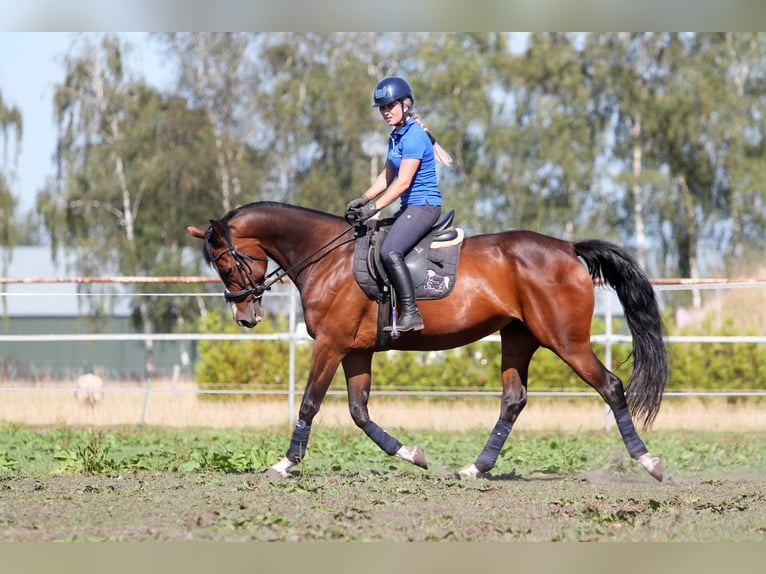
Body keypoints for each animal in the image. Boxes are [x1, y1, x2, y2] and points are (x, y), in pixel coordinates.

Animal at [184, 201, 664, 482]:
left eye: (226, 263)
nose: (245, 316)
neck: (327, 257)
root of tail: (567, 248)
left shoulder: (331, 345)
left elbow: (309, 403)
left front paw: (285, 463)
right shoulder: (356, 351)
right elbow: (359, 412)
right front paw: (412, 454)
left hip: (565, 341)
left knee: (611, 387)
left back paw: (649, 462)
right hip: (518, 338)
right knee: (513, 401)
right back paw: (475, 468)